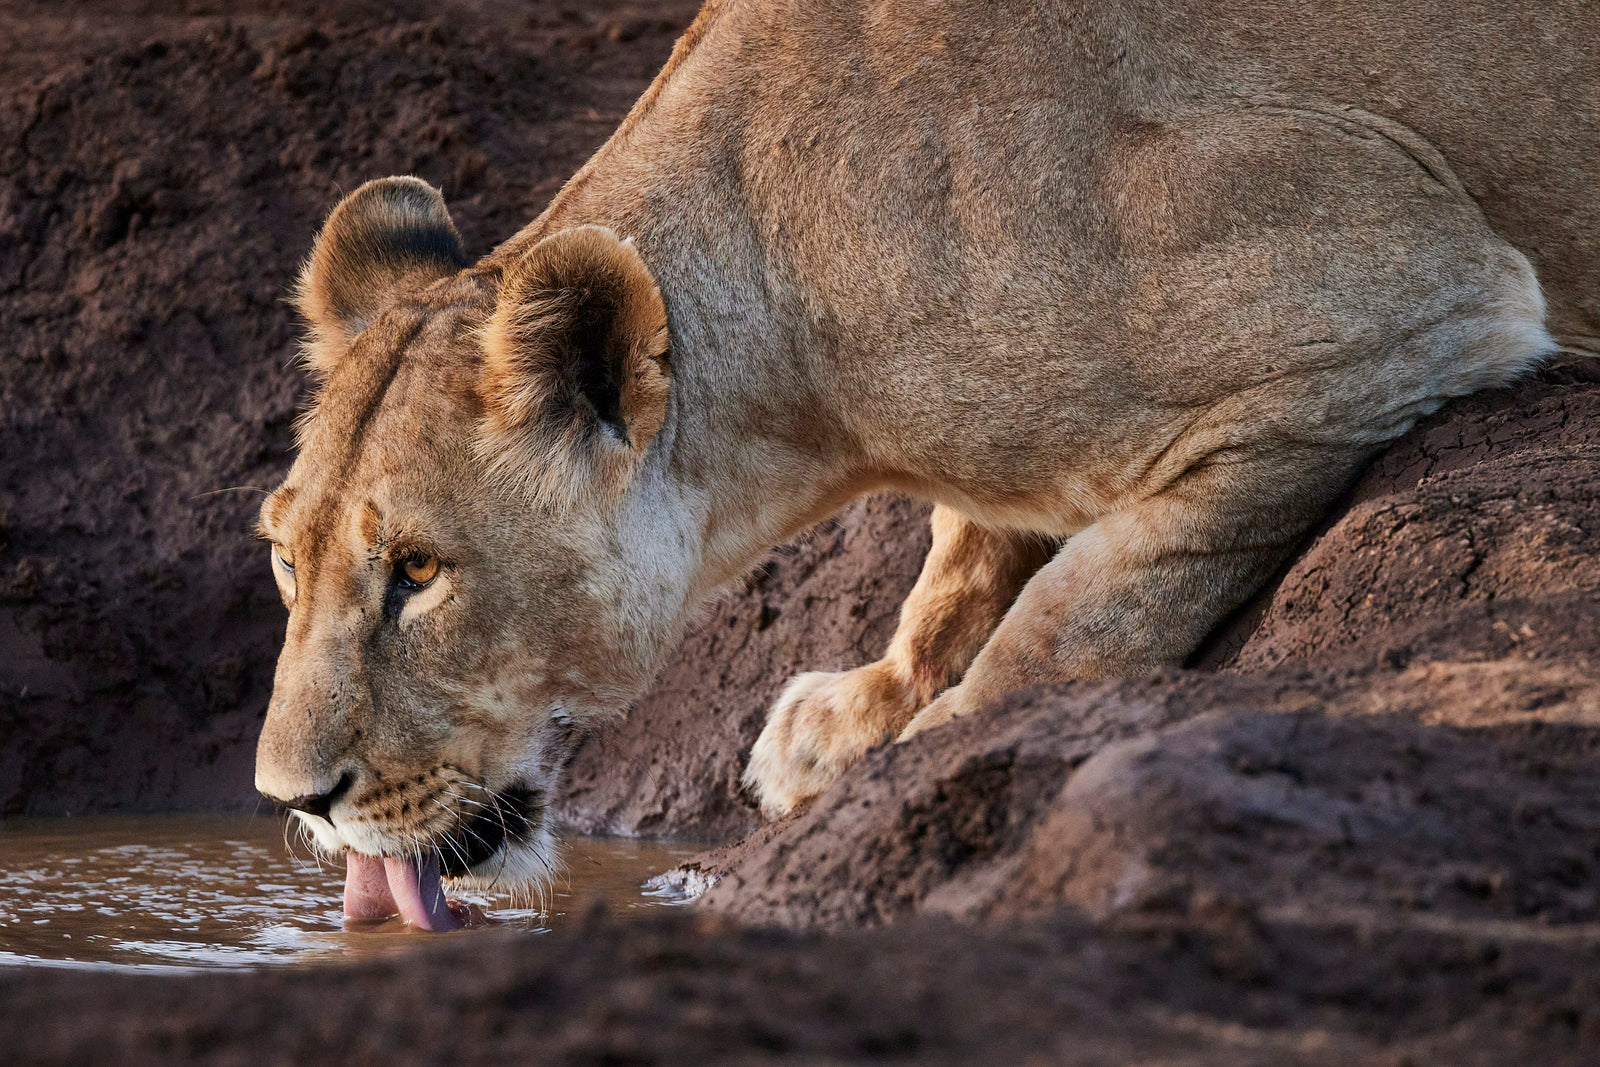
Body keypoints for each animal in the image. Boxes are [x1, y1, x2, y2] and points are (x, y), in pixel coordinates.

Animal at [253, 0, 1596, 927]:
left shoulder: (1410, 297)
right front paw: (850, 716)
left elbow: (1078, 611)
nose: (290, 799)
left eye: (418, 570)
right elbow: (960, 555)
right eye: (284, 560)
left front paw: (919, 760)